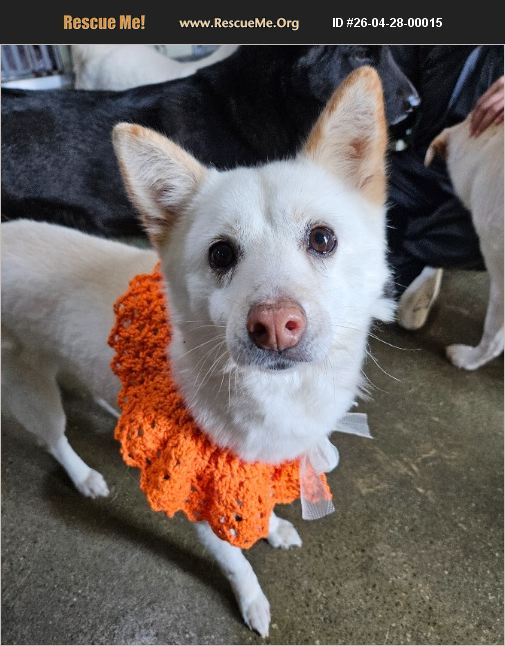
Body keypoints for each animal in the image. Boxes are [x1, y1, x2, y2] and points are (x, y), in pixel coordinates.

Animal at [2, 68, 393, 636]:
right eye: (221, 254)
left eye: (323, 238)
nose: (274, 327)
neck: (275, 395)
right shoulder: (195, 491)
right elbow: (235, 560)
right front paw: (252, 600)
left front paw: (272, 525)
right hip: (28, 385)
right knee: (53, 439)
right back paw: (84, 476)